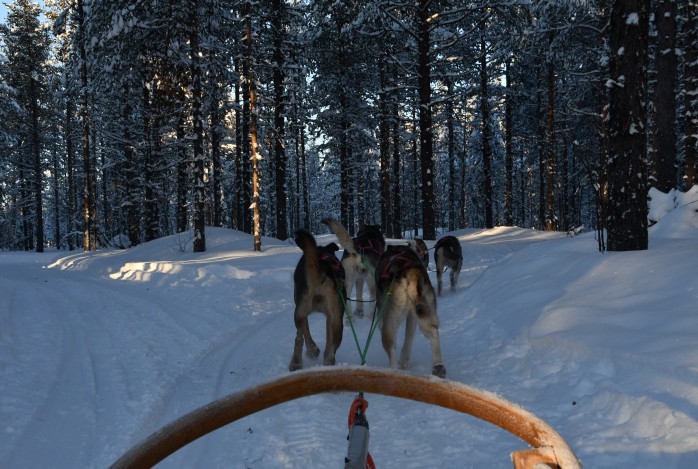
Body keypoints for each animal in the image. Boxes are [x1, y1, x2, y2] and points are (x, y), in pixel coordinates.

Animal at [286, 229, 344, 372]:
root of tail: (322, 274)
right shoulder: (328, 318)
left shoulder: (301, 310)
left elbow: (306, 332)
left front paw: (313, 351)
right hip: (337, 322)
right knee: (330, 351)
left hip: (301, 312)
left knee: (299, 337)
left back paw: (299, 361)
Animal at [372, 245, 444, 376]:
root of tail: (409, 271)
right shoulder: (412, 316)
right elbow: (408, 338)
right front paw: (404, 360)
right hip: (425, 312)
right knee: (434, 332)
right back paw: (438, 366)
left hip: (390, 323)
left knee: (390, 349)